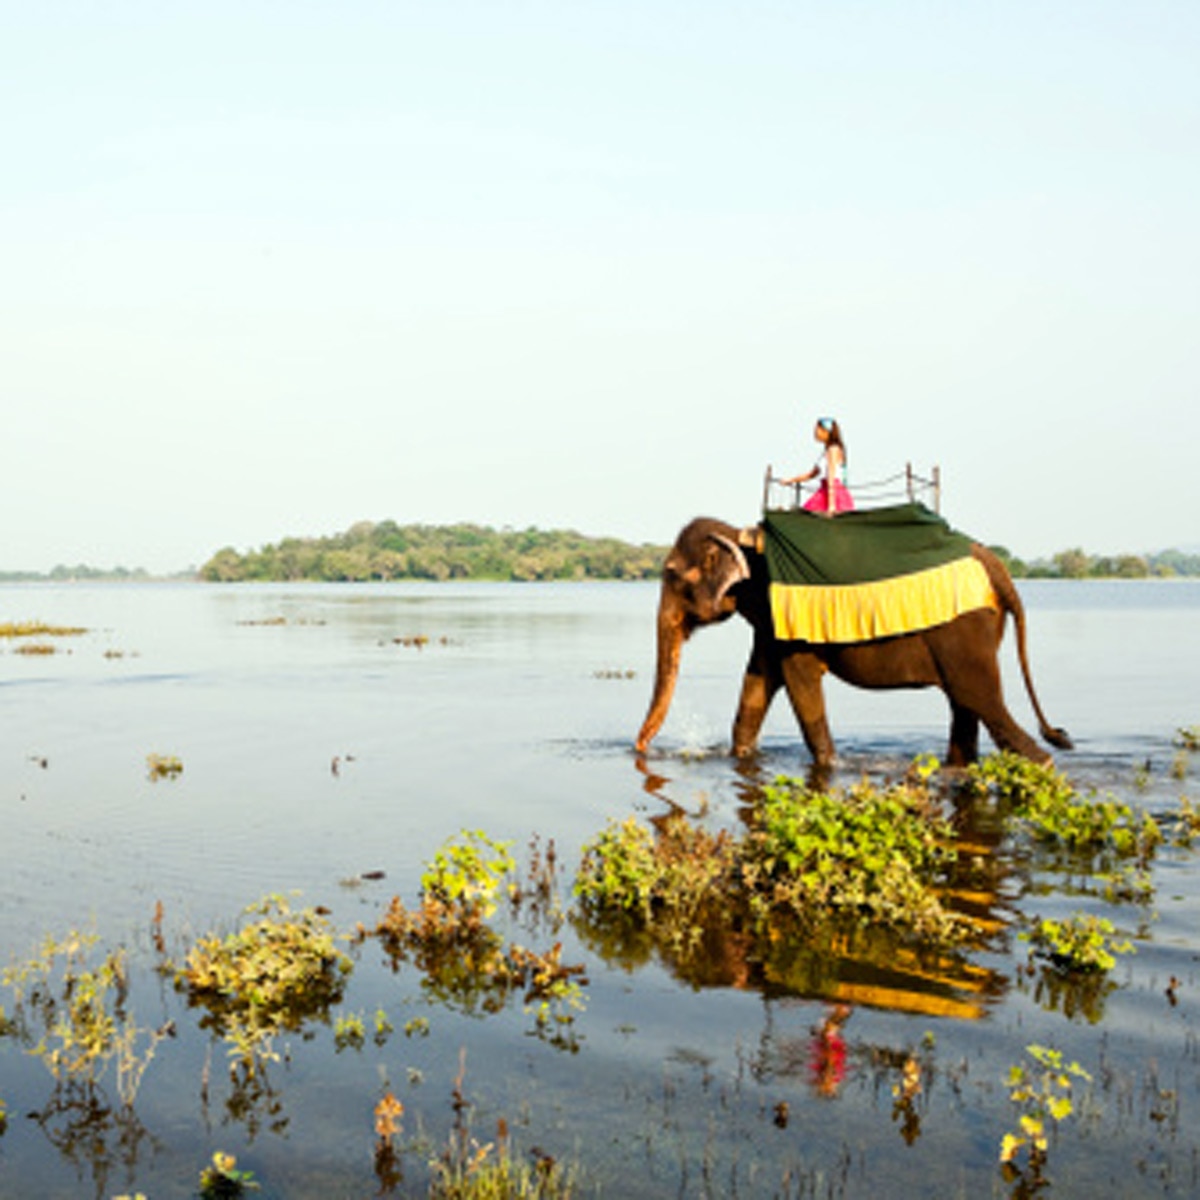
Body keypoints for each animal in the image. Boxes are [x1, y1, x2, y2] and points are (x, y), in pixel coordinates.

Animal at [635, 515, 1071, 768]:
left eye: (670, 574)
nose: (641, 749)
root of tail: (998, 568)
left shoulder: (791, 628)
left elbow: (800, 683)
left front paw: (830, 765)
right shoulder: (772, 625)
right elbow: (757, 683)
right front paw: (740, 755)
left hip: (964, 633)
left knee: (980, 699)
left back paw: (1043, 764)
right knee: (965, 705)